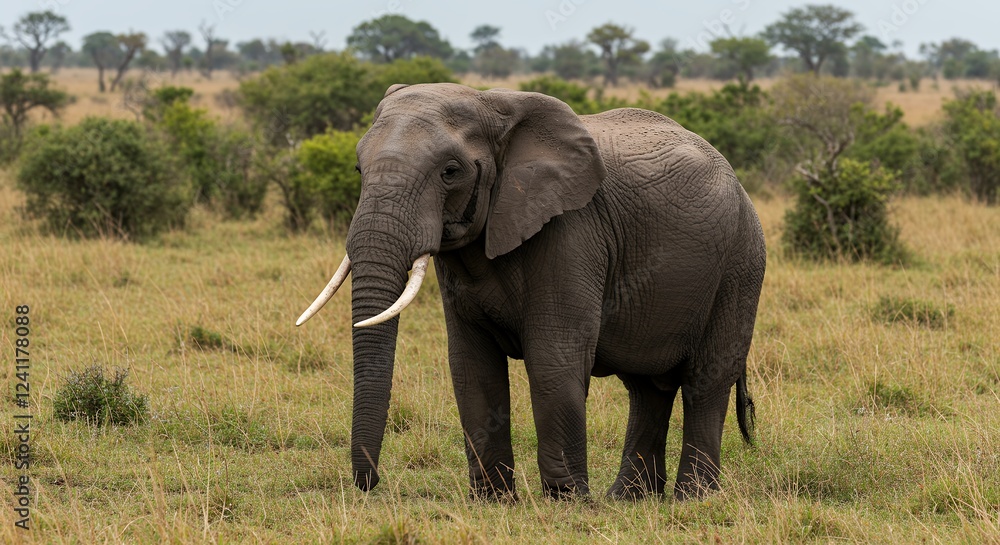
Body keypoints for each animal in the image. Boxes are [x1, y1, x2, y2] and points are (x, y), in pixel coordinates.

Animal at [296, 82, 766, 501]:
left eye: (450, 172)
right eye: (359, 170)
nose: (370, 484)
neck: (492, 106)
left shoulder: (572, 231)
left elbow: (552, 358)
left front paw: (567, 500)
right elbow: (470, 364)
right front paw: (493, 500)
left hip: (741, 263)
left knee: (705, 380)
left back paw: (693, 498)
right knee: (647, 387)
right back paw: (627, 498)